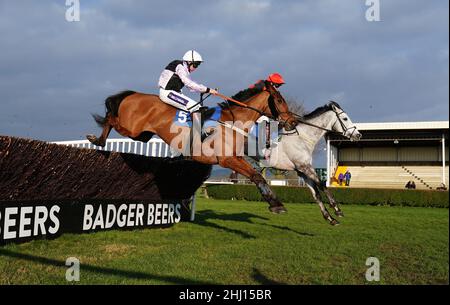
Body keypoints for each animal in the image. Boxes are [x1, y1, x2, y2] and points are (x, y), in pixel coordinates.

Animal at [87, 82, 298, 213]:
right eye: (279, 100)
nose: (293, 122)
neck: (232, 122)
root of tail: (134, 95)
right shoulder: (227, 160)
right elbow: (256, 176)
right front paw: (276, 204)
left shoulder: (232, 158)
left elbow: (257, 175)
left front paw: (276, 203)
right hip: (131, 128)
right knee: (110, 119)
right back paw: (97, 139)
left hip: (142, 135)